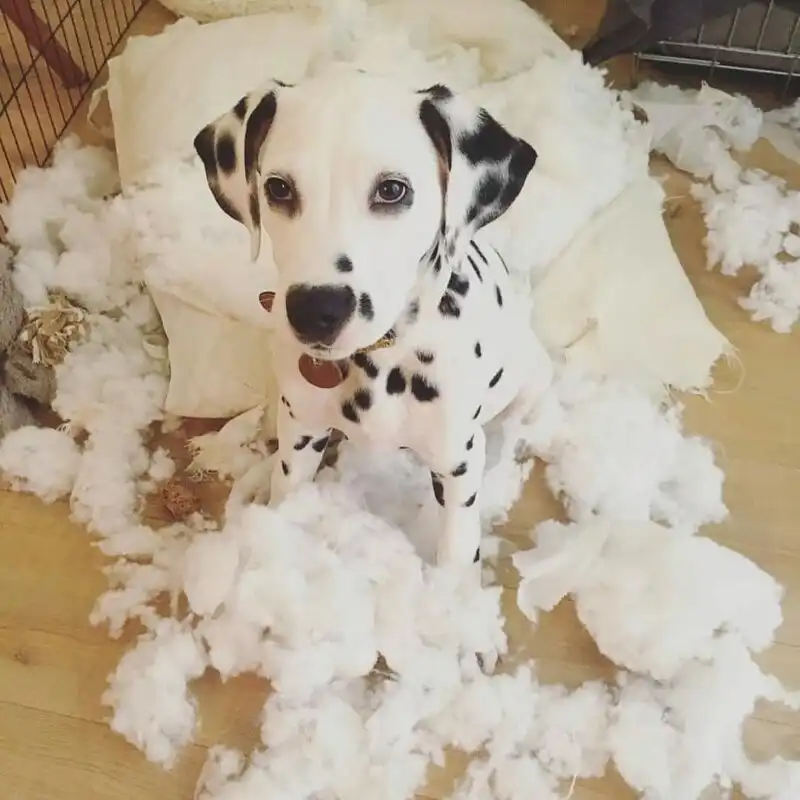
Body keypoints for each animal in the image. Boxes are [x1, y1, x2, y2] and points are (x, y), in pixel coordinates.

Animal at [194, 67, 552, 577]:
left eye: (392, 189)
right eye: (278, 187)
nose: (315, 311)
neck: (382, 360)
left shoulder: (457, 463)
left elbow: (456, 549)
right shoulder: (303, 434)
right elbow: (288, 494)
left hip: (530, 381)